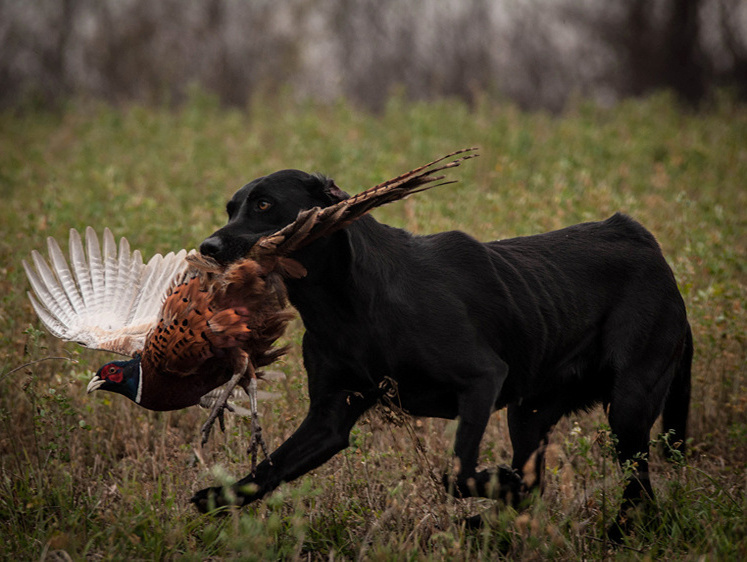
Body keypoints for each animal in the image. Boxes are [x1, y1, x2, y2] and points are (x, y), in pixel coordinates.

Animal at [194, 168, 696, 532]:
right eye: (231, 208)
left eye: (264, 204)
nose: (208, 247)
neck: (344, 302)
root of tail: (646, 244)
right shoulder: (329, 419)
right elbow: (267, 471)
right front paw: (213, 496)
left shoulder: (482, 380)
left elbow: (456, 473)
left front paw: (496, 482)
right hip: (530, 413)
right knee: (538, 485)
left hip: (628, 405)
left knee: (638, 487)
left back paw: (617, 533)